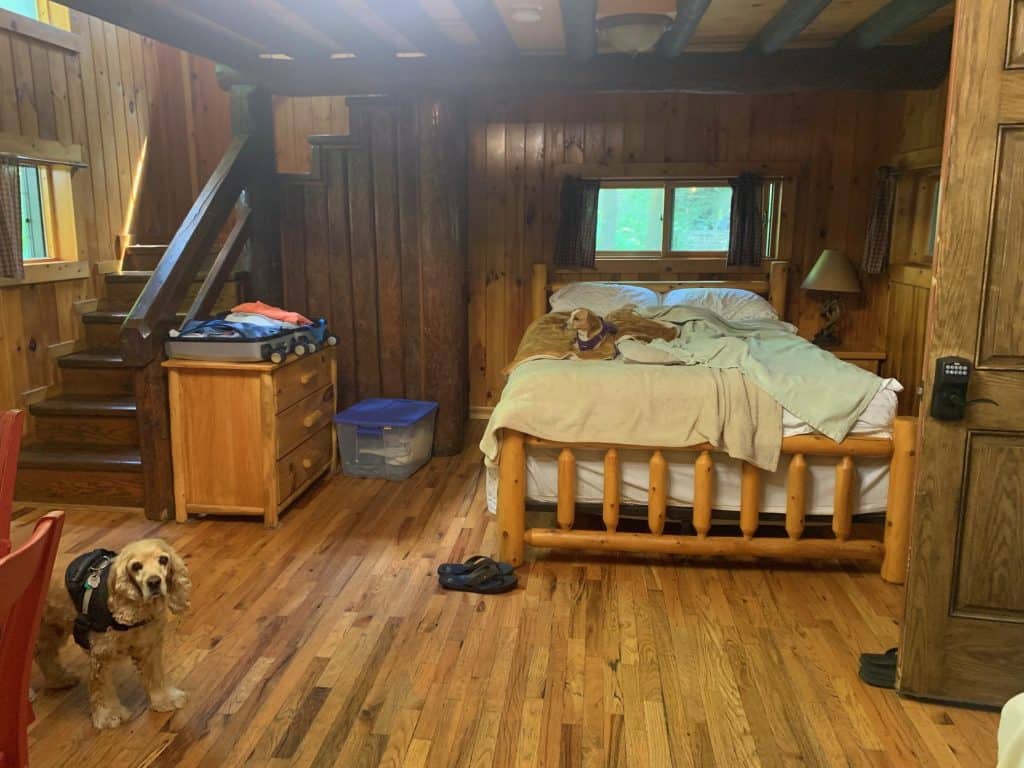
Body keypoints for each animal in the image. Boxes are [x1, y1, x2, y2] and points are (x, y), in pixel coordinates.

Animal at [34, 536, 191, 729]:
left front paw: (165, 699)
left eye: (163, 559)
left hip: (53, 628)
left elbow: (155, 675)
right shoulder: (100, 654)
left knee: (44, 653)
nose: (154, 582)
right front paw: (110, 715)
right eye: (136, 566)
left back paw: (59, 680)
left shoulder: (148, 646)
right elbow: (102, 687)